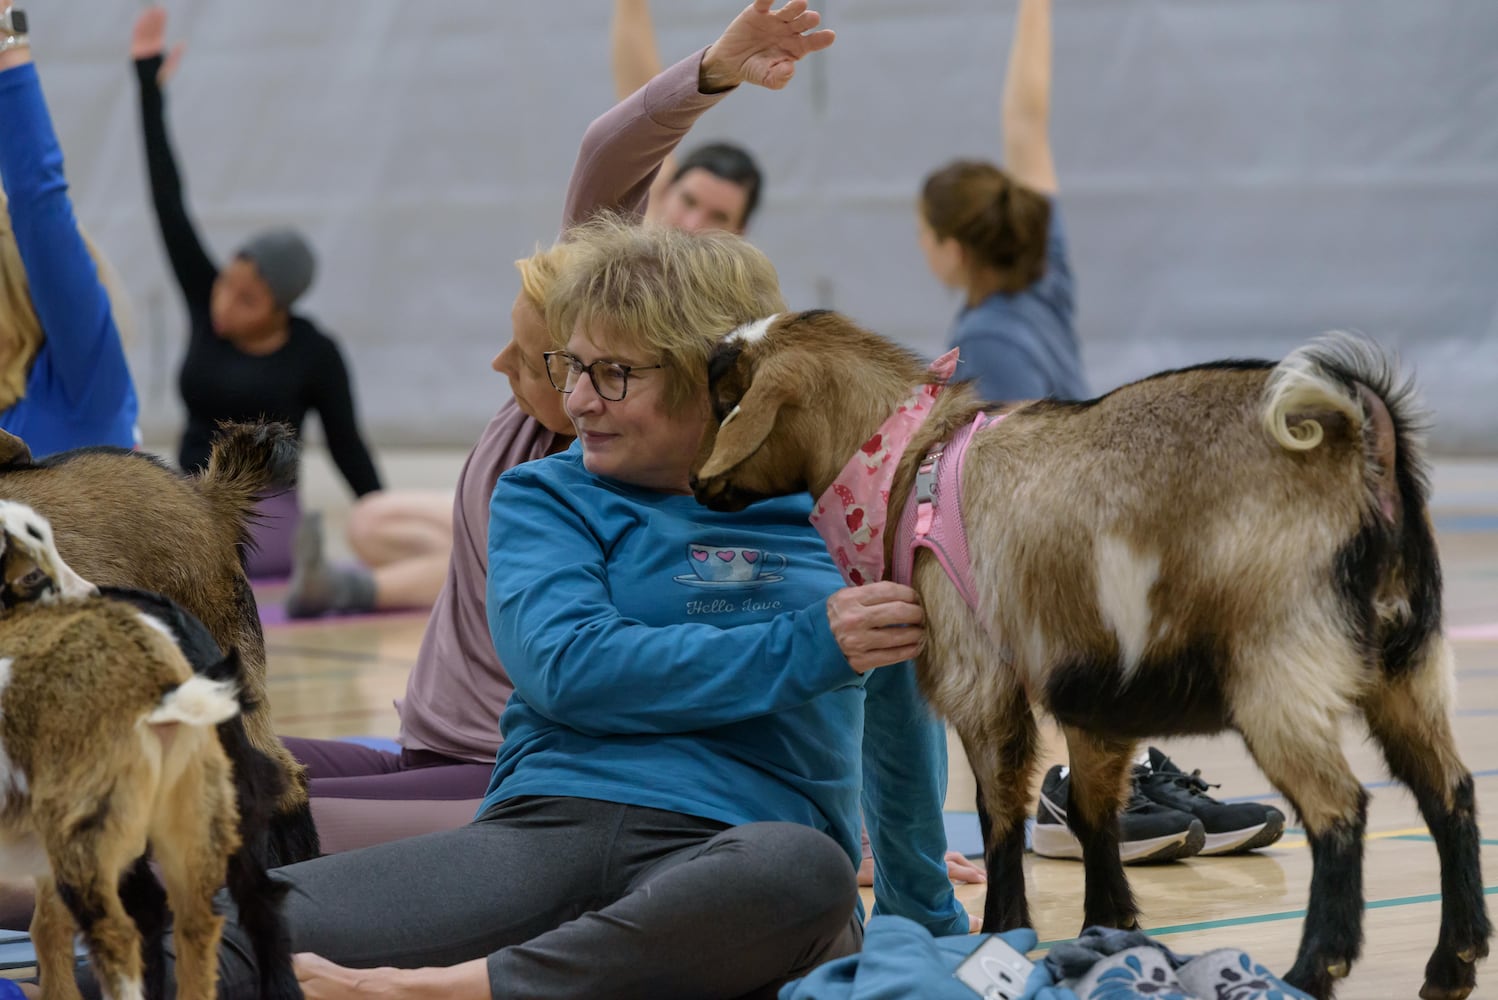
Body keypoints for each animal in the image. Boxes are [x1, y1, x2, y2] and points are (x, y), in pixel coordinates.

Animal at [689, 309, 1486, 999]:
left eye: (727, 399)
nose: (695, 481)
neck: (909, 460)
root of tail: (1362, 439)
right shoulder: (1095, 689)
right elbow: (1092, 809)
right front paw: (1110, 928)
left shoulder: (983, 679)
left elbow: (999, 810)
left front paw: (1004, 931)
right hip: (1407, 667)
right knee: (1449, 792)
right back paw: (1455, 961)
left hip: (1281, 666)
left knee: (1340, 810)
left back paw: (1312, 969)